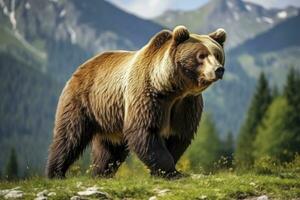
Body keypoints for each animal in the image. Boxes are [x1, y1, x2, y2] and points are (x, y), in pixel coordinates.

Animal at [45, 25, 226, 180]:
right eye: (201, 55)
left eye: (217, 55)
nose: (218, 69)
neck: (172, 88)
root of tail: (83, 66)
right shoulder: (147, 96)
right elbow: (145, 131)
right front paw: (170, 172)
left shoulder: (186, 104)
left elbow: (179, 136)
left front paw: (166, 170)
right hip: (83, 100)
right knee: (69, 136)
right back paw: (56, 173)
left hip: (109, 117)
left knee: (110, 149)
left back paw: (101, 173)